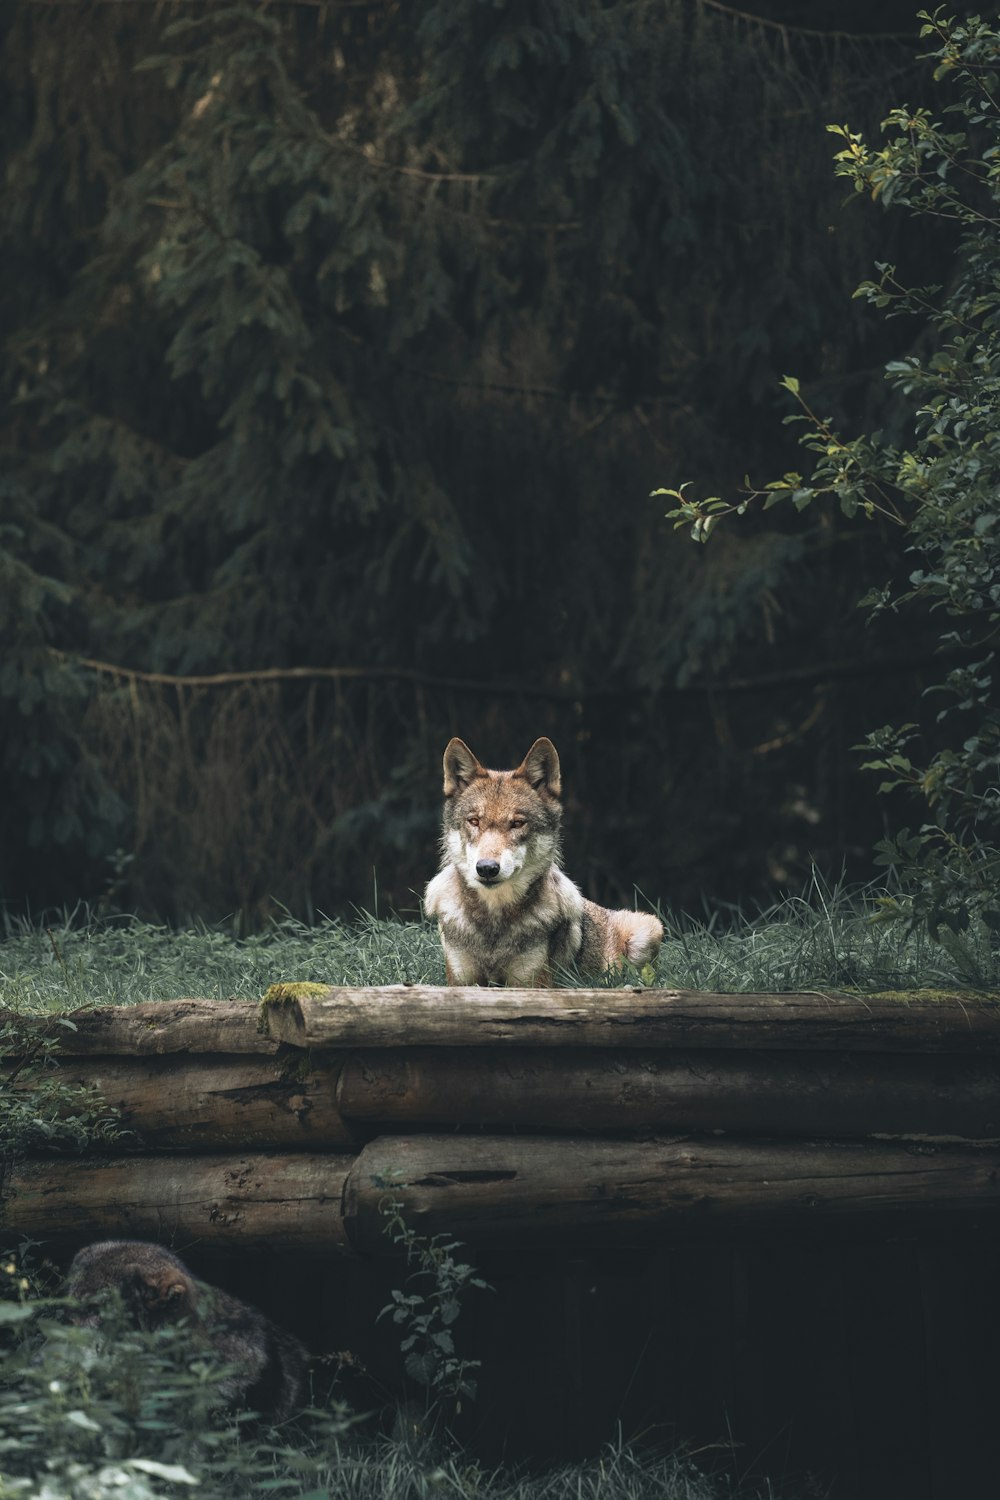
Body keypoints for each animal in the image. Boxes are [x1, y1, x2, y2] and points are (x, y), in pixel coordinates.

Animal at [422, 735, 665, 990]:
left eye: (517, 823)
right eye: (474, 821)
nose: (487, 868)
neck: (493, 927)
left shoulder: (532, 983)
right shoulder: (461, 981)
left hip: (649, 926)